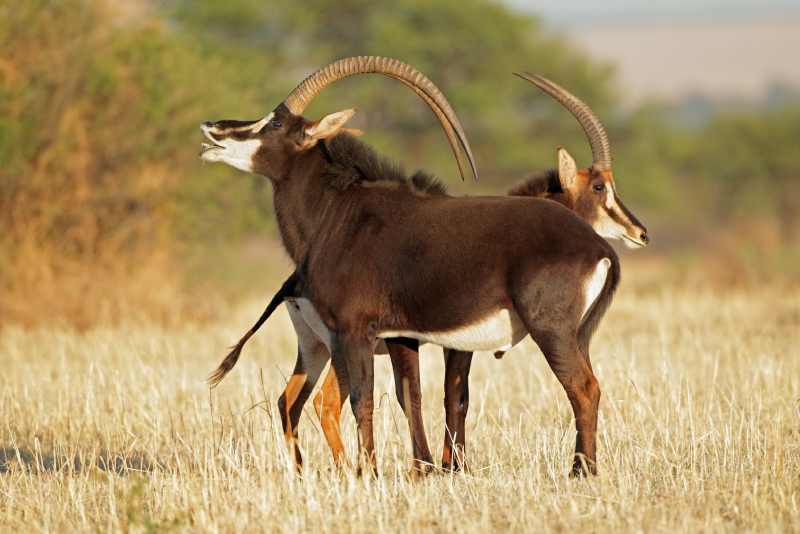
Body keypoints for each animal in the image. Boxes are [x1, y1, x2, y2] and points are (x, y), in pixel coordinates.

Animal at [201, 57, 648, 476]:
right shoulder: (399, 335)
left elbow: (373, 400)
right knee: (294, 400)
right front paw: (426, 469)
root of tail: (597, 246)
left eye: (275, 122)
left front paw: (375, 474)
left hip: (550, 330)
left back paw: (580, 471)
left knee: (584, 388)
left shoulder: (358, 330)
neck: (338, 213)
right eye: (599, 187)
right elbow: (412, 395)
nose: (212, 128)